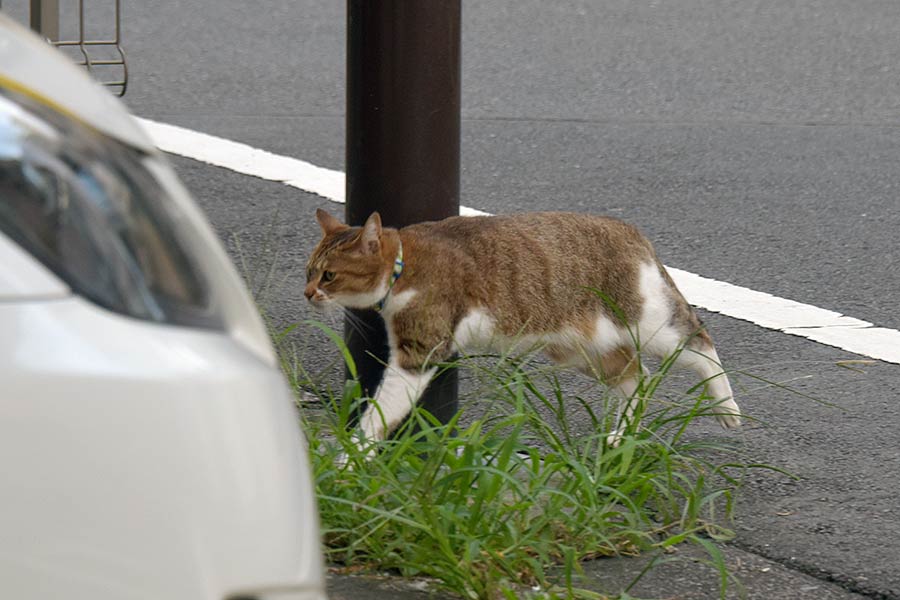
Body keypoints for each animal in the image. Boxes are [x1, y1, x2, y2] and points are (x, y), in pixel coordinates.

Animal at [306, 209, 740, 452]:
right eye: (309, 271)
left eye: (329, 276)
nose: (307, 293)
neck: (404, 263)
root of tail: (631, 231)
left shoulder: (419, 353)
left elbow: (379, 414)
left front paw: (351, 457)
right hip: (581, 349)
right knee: (639, 377)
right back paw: (622, 436)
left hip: (648, 323)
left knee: (701, 342)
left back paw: (727, 407)